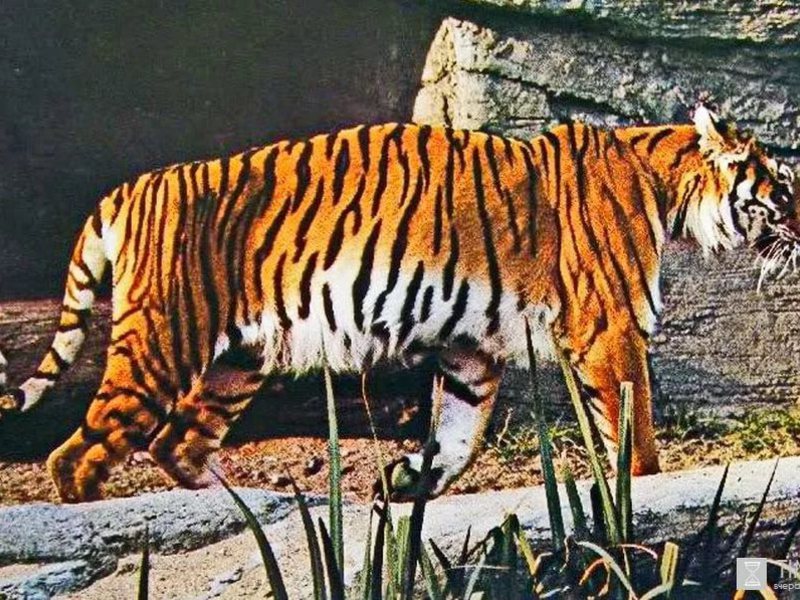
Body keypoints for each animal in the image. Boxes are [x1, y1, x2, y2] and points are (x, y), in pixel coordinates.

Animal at [0, 103, 796, 503]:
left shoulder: (472, 349)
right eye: (784, 188)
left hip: (238, 360)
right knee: (79, 456)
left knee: (177, 443)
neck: (667, 185)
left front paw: (412, 479)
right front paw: (641, 497)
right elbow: (635, 431)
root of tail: (127, 187)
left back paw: (241, 506)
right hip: (163, 341)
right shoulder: (610, 333)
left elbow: (458, 435)